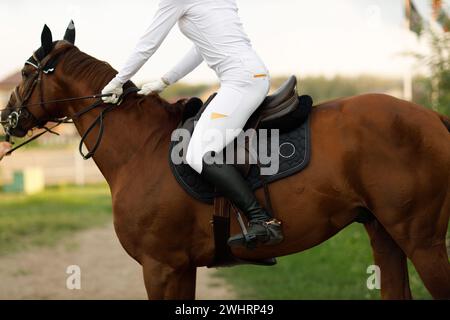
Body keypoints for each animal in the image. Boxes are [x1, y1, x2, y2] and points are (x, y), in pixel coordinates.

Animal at [2, 23, 450, 300]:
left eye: (25, 72)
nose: (8, 119)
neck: (141, 146)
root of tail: (431, 116)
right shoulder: (180, 268)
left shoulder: (160, 267)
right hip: (384, 233)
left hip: (422, 241)